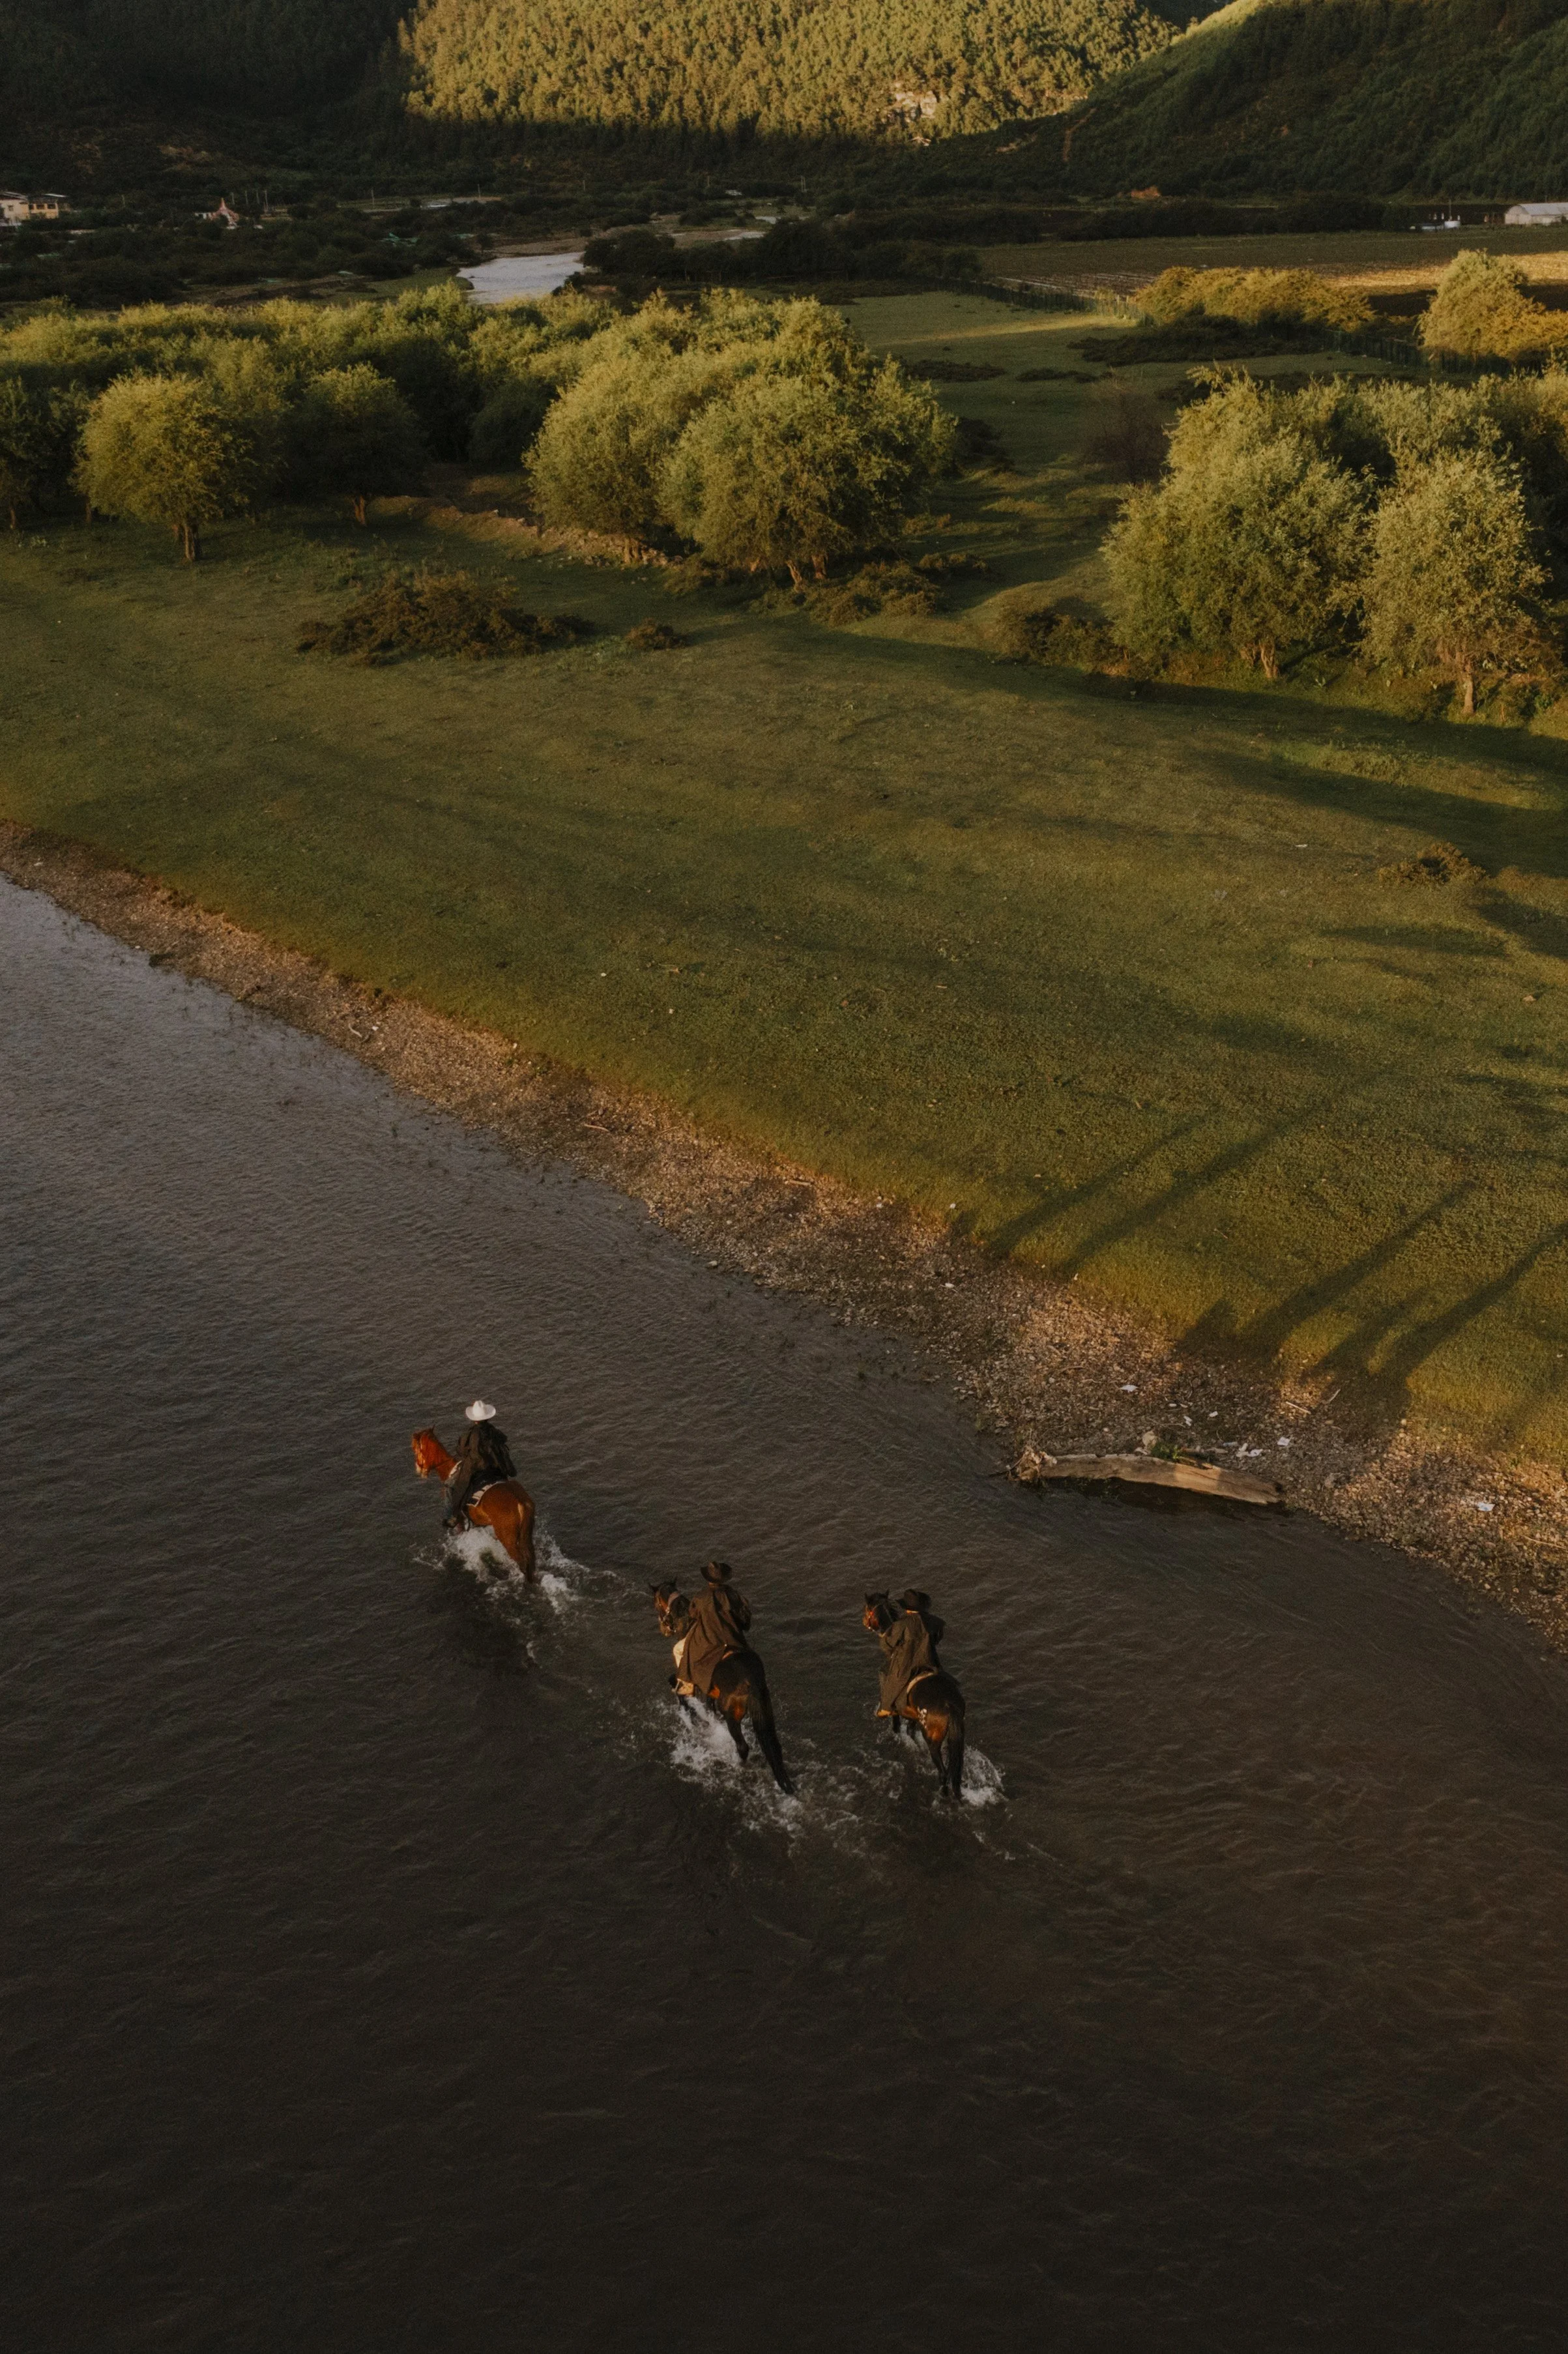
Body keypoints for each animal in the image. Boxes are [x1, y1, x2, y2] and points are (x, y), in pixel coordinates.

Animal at [410, 1428, 537, 1581]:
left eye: (416, 1448)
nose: (419, 1470)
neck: (449, 1469)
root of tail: (520, 1502)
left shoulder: (459, 1518)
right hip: (526, 1535)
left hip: (508, 1539)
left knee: (522, 1562)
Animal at [650, 1582, 794, 1795]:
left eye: (656, 1604)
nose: (663, 1628)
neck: (687, 1623)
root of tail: (751, 1682)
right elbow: (708, 1704)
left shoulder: (685, 1677)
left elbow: (679, 1690)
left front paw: (691, 1715)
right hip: (765, 1713)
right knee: (774, 1747)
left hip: (732, 1716)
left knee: (743, 1746)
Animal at [862, 1592, 967, 1800]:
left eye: (868, 1609)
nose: (864, 1621)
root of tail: (950, 1706)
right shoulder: (912, 1716)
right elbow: (910, 1731)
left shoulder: (894, 1710)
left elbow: (896, 1728)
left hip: (933, 1741)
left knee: (943, 1773)